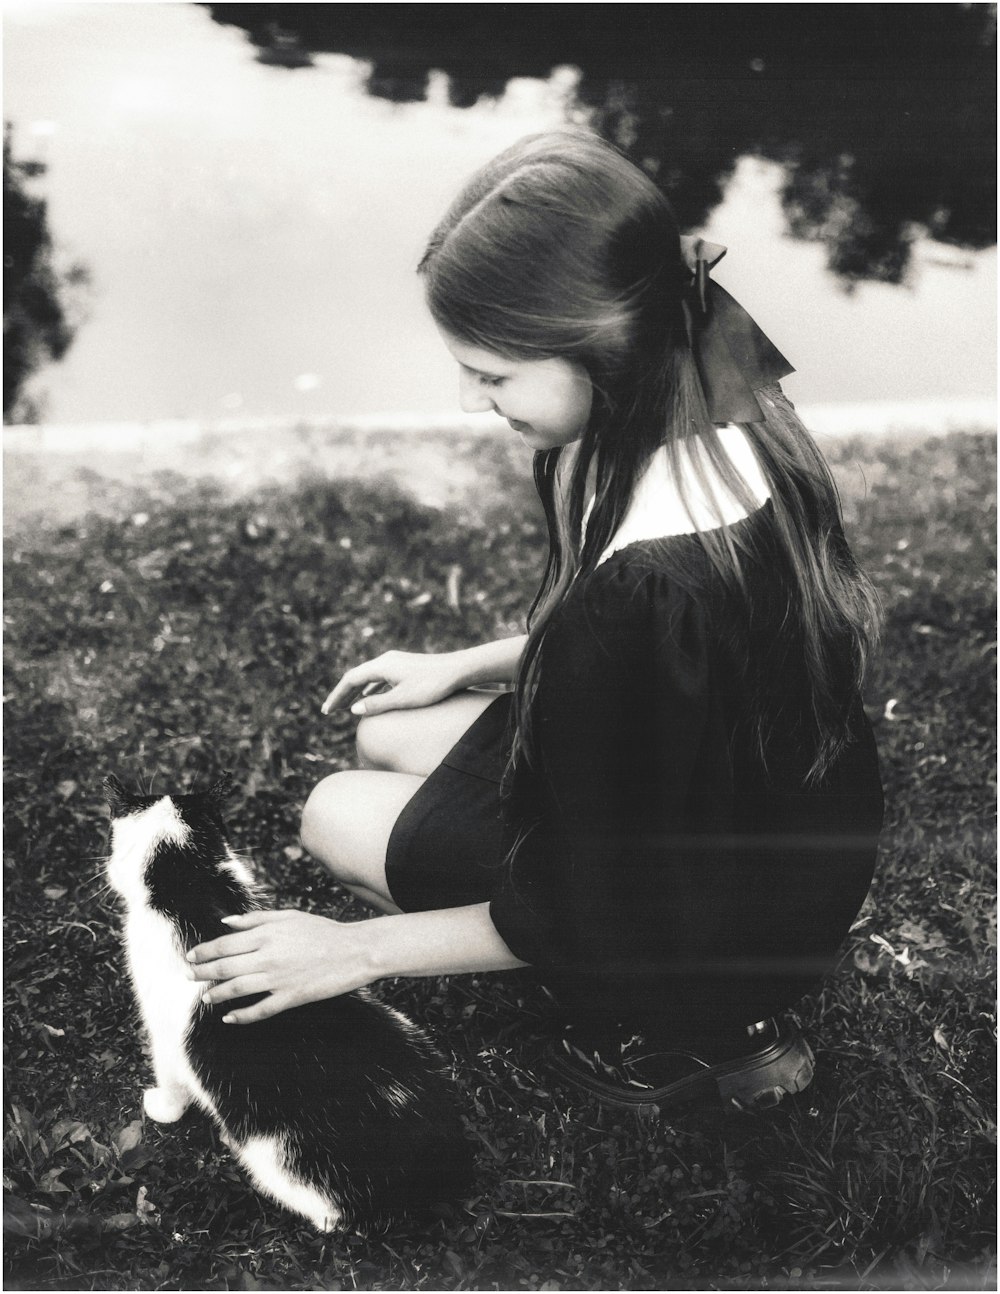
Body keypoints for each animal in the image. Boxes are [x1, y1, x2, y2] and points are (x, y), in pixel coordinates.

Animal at [102, 771, 476, 1226]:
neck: (192, 882)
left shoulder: (164, 1032)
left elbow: (170, 1079)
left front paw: (162, 1107)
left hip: (281, 1160)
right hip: (411, 1032)